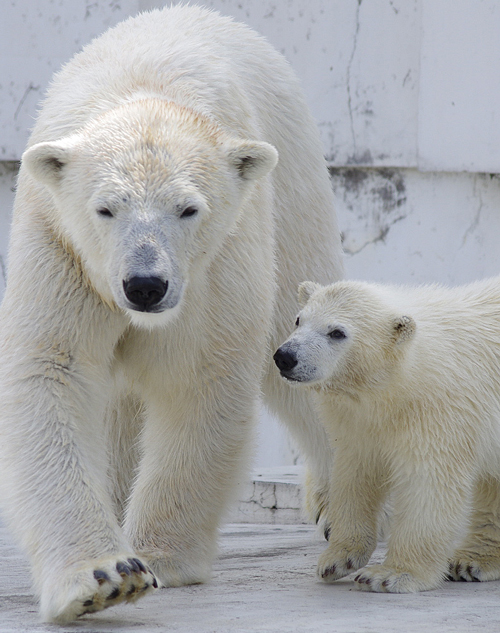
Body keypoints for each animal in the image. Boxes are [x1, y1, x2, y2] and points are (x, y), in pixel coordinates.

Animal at [0, 3, 344, 628]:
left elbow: (200, 377)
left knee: (303, 335)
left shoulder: (214, 262)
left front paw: (158, 554)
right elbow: (51, 372)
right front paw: (105, 578)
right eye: (105, 208)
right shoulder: (62, 245)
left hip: (292, 188)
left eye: (187, 209)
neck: (147, 97)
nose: (145, 285)